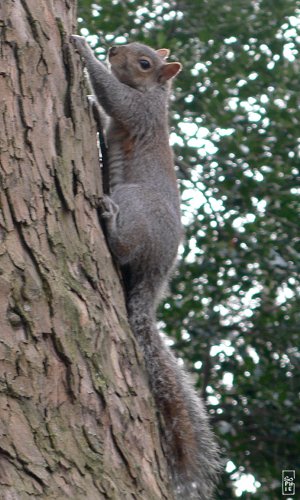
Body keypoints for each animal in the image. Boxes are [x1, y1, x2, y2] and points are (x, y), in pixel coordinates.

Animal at [70, 36, 220, 500]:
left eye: (143, 63)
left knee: (122, 249)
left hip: (135, 202)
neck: (158, 95)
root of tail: (159, 270)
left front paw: (84, 51)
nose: (113, 49)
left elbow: (113, 97)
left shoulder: (139, 110)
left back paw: (110, 220)